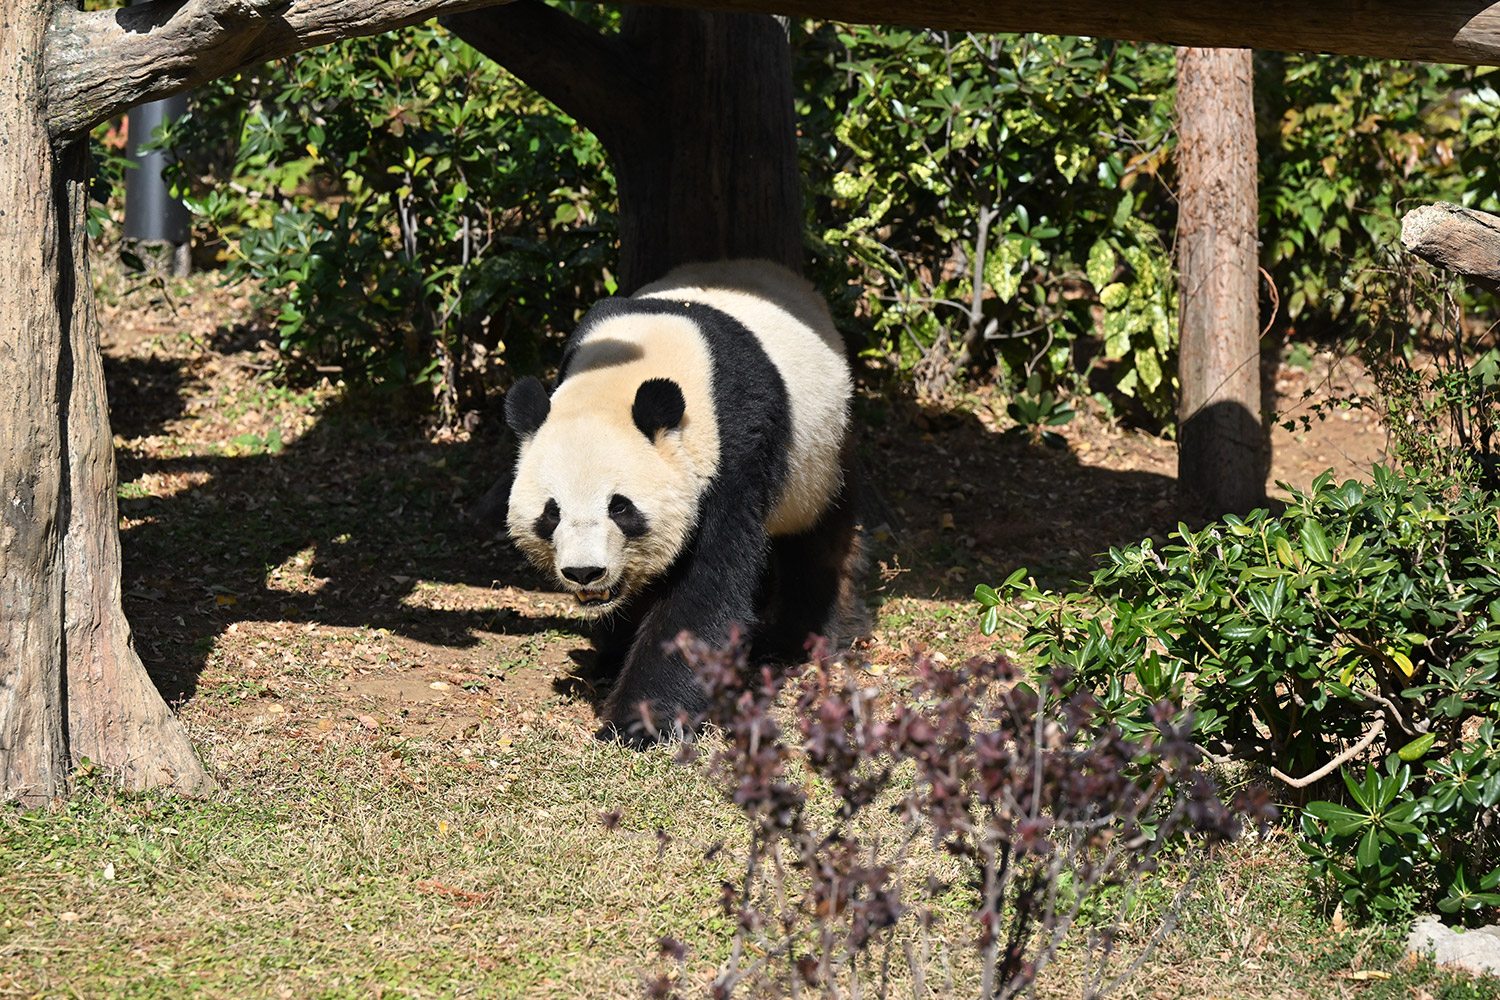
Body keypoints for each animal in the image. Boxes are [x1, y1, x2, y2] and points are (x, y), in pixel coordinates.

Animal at [503, 259, 866, 741]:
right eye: (551, 513)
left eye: (620, 507)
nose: (584, 573)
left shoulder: (731, 446)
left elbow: (704, 585)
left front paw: (639, 722)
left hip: (819, 456)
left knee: (821, 538)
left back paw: (802, 639)